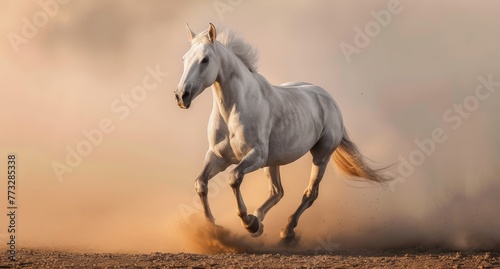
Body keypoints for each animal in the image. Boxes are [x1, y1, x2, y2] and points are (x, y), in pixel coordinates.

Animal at [175, 23, 390, 239]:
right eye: (184, 58)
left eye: (205, 59)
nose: (181, 95)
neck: (234, 111)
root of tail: (329, 99)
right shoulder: (218, 157)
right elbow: (201, 183)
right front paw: (214, 226)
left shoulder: (256, 156)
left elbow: (234, 178)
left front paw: (248, 222)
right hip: (273, 162)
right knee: (277, 192)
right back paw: (260, 222)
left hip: (321, 155)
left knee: (310, 193)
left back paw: (285, 229)